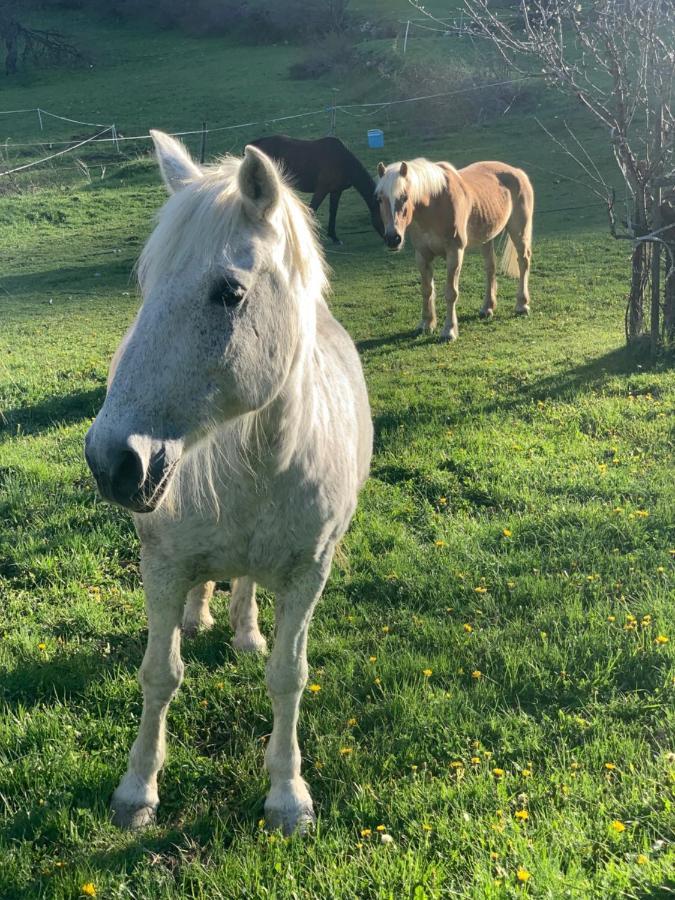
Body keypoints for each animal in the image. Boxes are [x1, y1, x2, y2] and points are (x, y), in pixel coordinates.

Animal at [250, 134, 386, 246]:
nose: (390, 240)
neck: (342, 161)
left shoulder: (336, 191)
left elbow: (333, 212)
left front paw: (334, 237)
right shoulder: (321, 190)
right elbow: (311, 211)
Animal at [374, 158, 532, 342]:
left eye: (405, 197)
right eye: (379, 199)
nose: (393, 239)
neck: (434, 204)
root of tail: (517, 172)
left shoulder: (454, 253)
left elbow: (451, 293)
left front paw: (449, 331)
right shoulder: (422, 255)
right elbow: (426, 290)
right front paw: (426, 324)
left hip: (519, 232)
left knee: (523, 262)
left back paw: (522, 305)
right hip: (487, 237)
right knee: (490, 268)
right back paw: (487, 308)